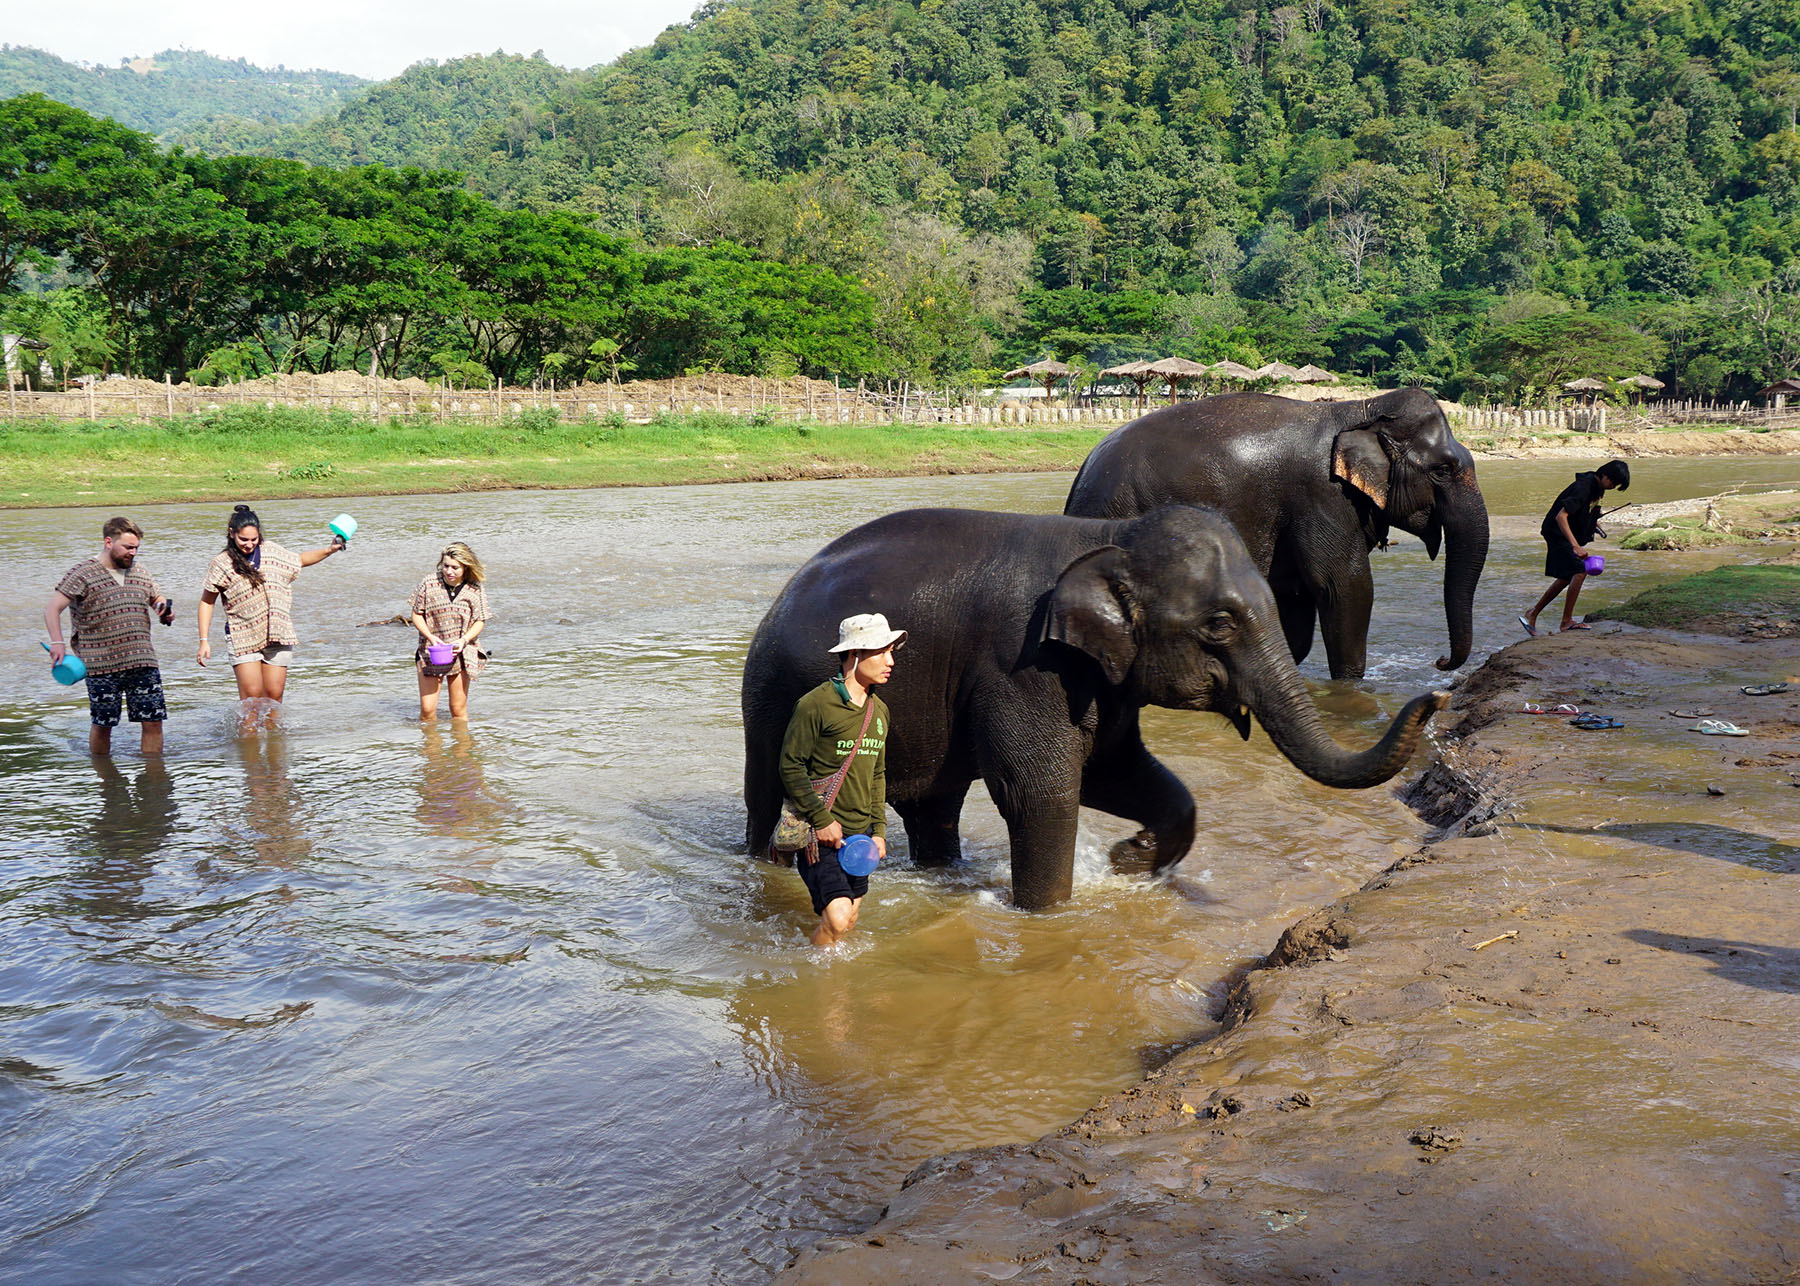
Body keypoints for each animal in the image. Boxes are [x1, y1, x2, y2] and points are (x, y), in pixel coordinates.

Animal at [741, 505, 1447, 910]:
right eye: (1219, 624)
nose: (1437, 691)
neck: (1111, 539)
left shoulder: (1103, 677)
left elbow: (1116, 772)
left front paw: (1130, 859)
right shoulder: (1024, 663)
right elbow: (1042, 790)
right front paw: (1052, 915)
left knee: (935, 806)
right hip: (770, 694)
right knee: (765, 795)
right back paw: (761, 864)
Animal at [1063, 388, 1490, 681]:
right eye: (1442, 470)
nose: (1440, 662)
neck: (1361, 408)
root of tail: (1080, 476)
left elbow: (1296, 599)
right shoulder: (1322, 497)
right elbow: (1344, 587)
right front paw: (1350, 688)